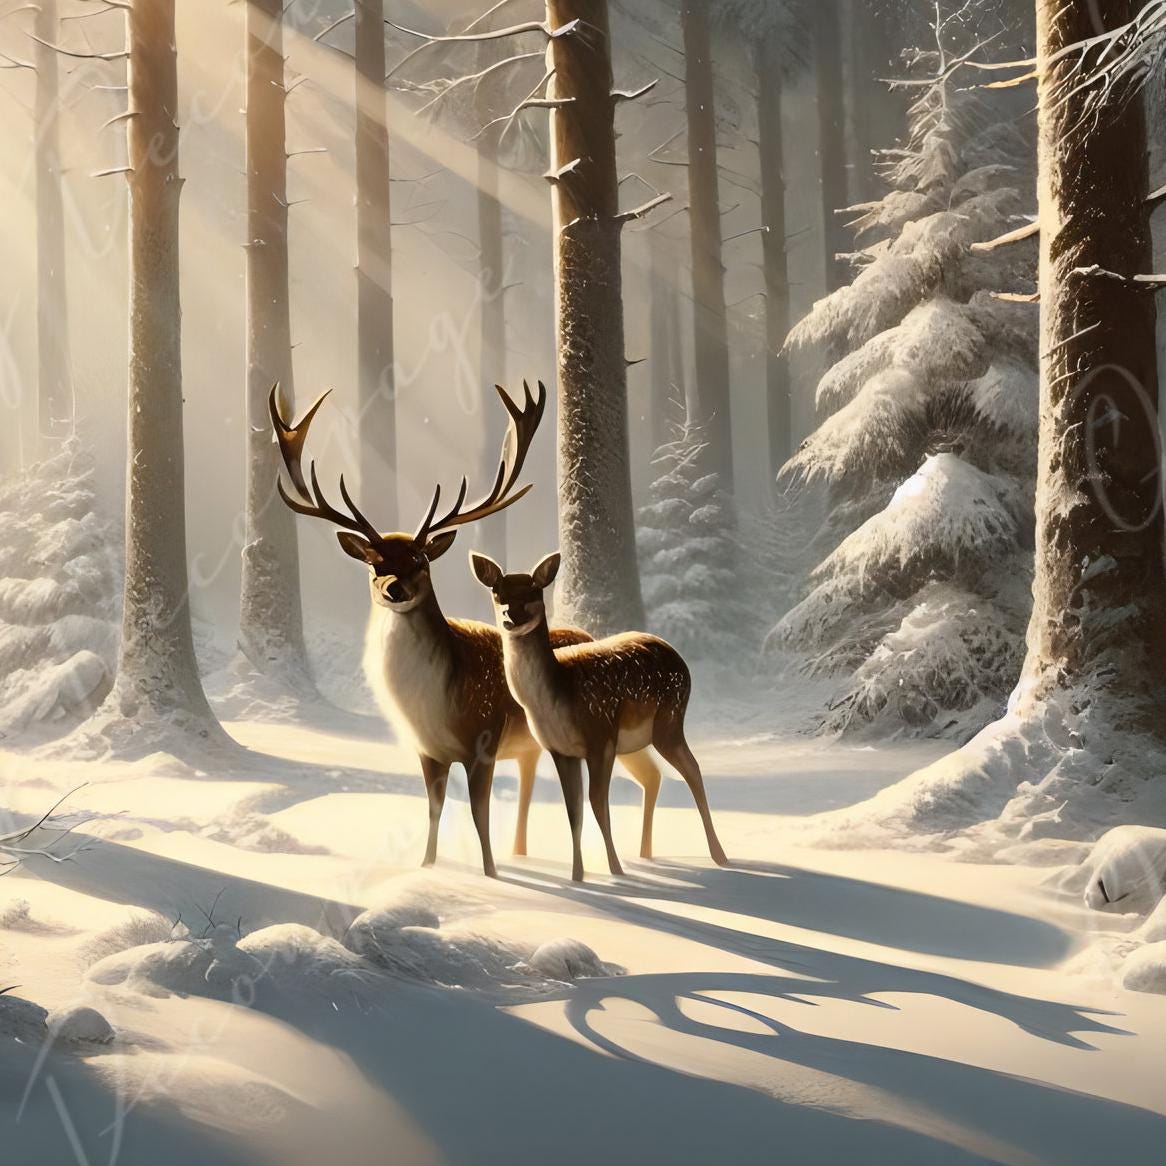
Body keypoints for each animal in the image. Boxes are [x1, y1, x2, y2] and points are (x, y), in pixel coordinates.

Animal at [269, 382, 662, 878]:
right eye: (375, 563)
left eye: (420, 560)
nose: (395, 588)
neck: (433, 704)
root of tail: (589, 635)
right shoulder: (428, 751)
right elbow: (434, 809)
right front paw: (427, 866)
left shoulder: (483, 738)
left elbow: (478, 812)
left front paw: (490, 874)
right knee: (540, 776)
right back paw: (533, 852)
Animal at [471, 550, 729, 882]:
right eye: (497, 592)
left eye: (533, 591)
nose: (510, 617)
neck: (558, 694)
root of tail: (676, 653)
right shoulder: (561, 750)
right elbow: (574, 810)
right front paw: (577, 876)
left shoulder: (600, 735)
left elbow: (598, 802)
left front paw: (615, 870)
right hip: (638, 740)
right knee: (656, 775)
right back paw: (646, 854)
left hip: (669, 721)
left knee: (693, 771)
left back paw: (719, 856)